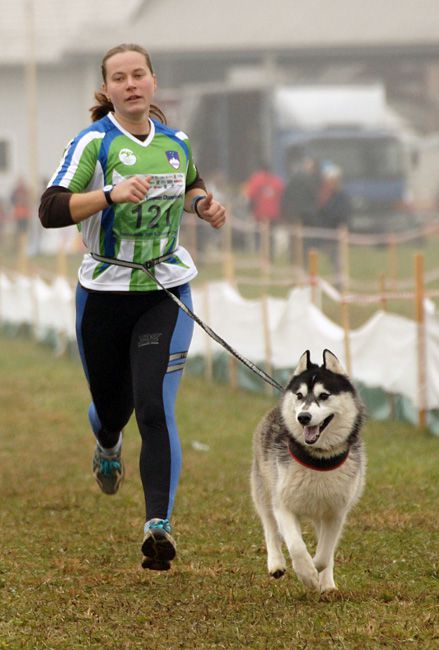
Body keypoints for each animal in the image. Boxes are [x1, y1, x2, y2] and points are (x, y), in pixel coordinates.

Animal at [253, 350, 366, 592]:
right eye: (299, 395)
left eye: (324, 395)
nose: (303, 417)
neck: (318, 458)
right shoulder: (283, 504)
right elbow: (296, 545)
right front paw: (306, 574)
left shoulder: (336, 512)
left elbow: (325, 554)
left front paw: (317, 572)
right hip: (263, 488)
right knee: (269, 526)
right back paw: (276, 563)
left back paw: (328, 585)